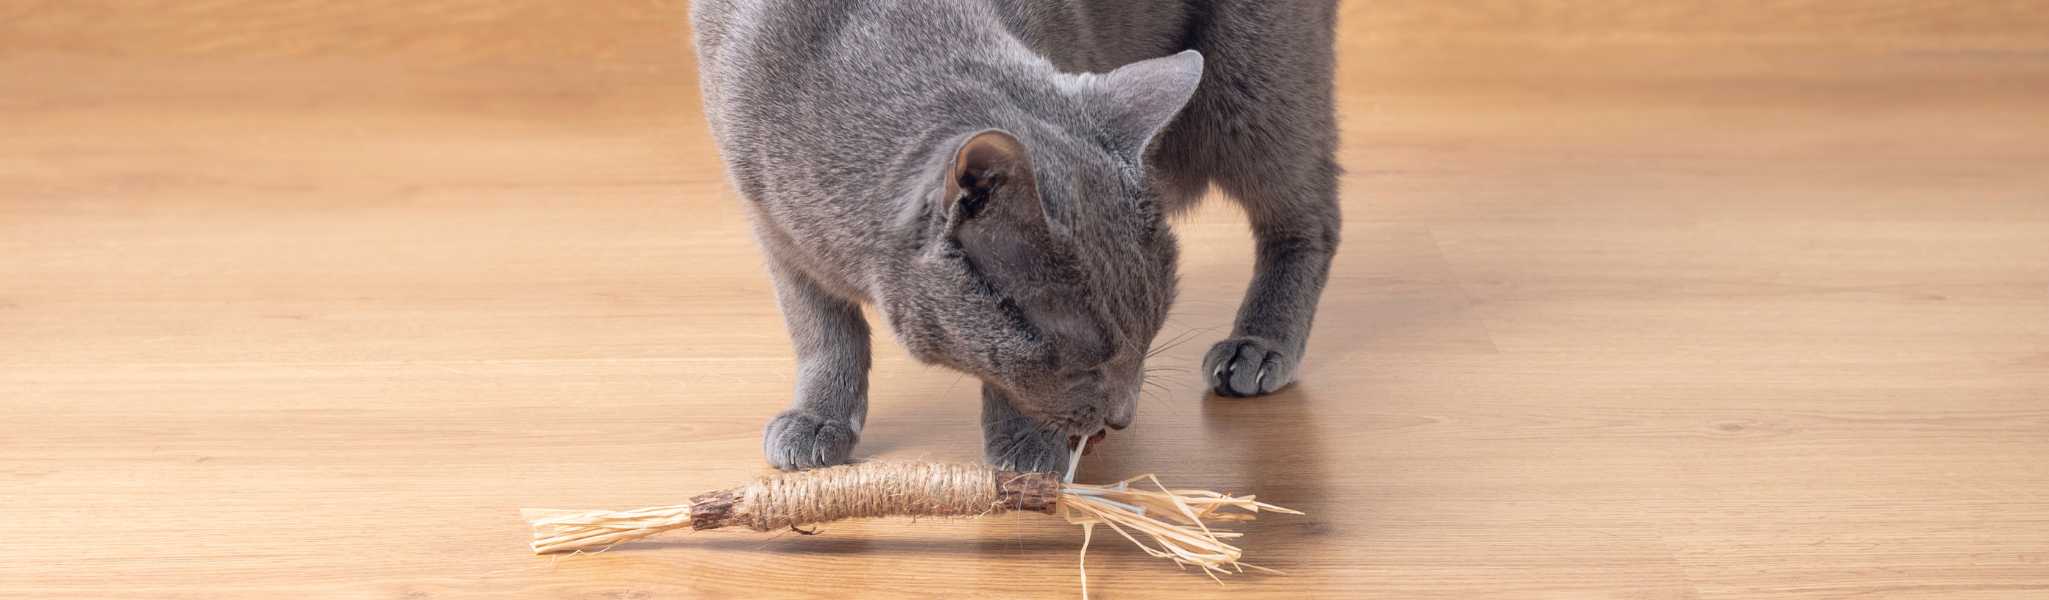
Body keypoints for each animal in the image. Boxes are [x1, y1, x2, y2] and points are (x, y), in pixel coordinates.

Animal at [688, 1, 1344, 470]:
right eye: (1086, 356)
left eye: (1151, 333)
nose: (1122, 418)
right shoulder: (771, 225)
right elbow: (821, 327)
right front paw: (817, 419)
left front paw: (1027, 449)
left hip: (1254, 74)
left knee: (1310, 213)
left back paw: (1258, 345)